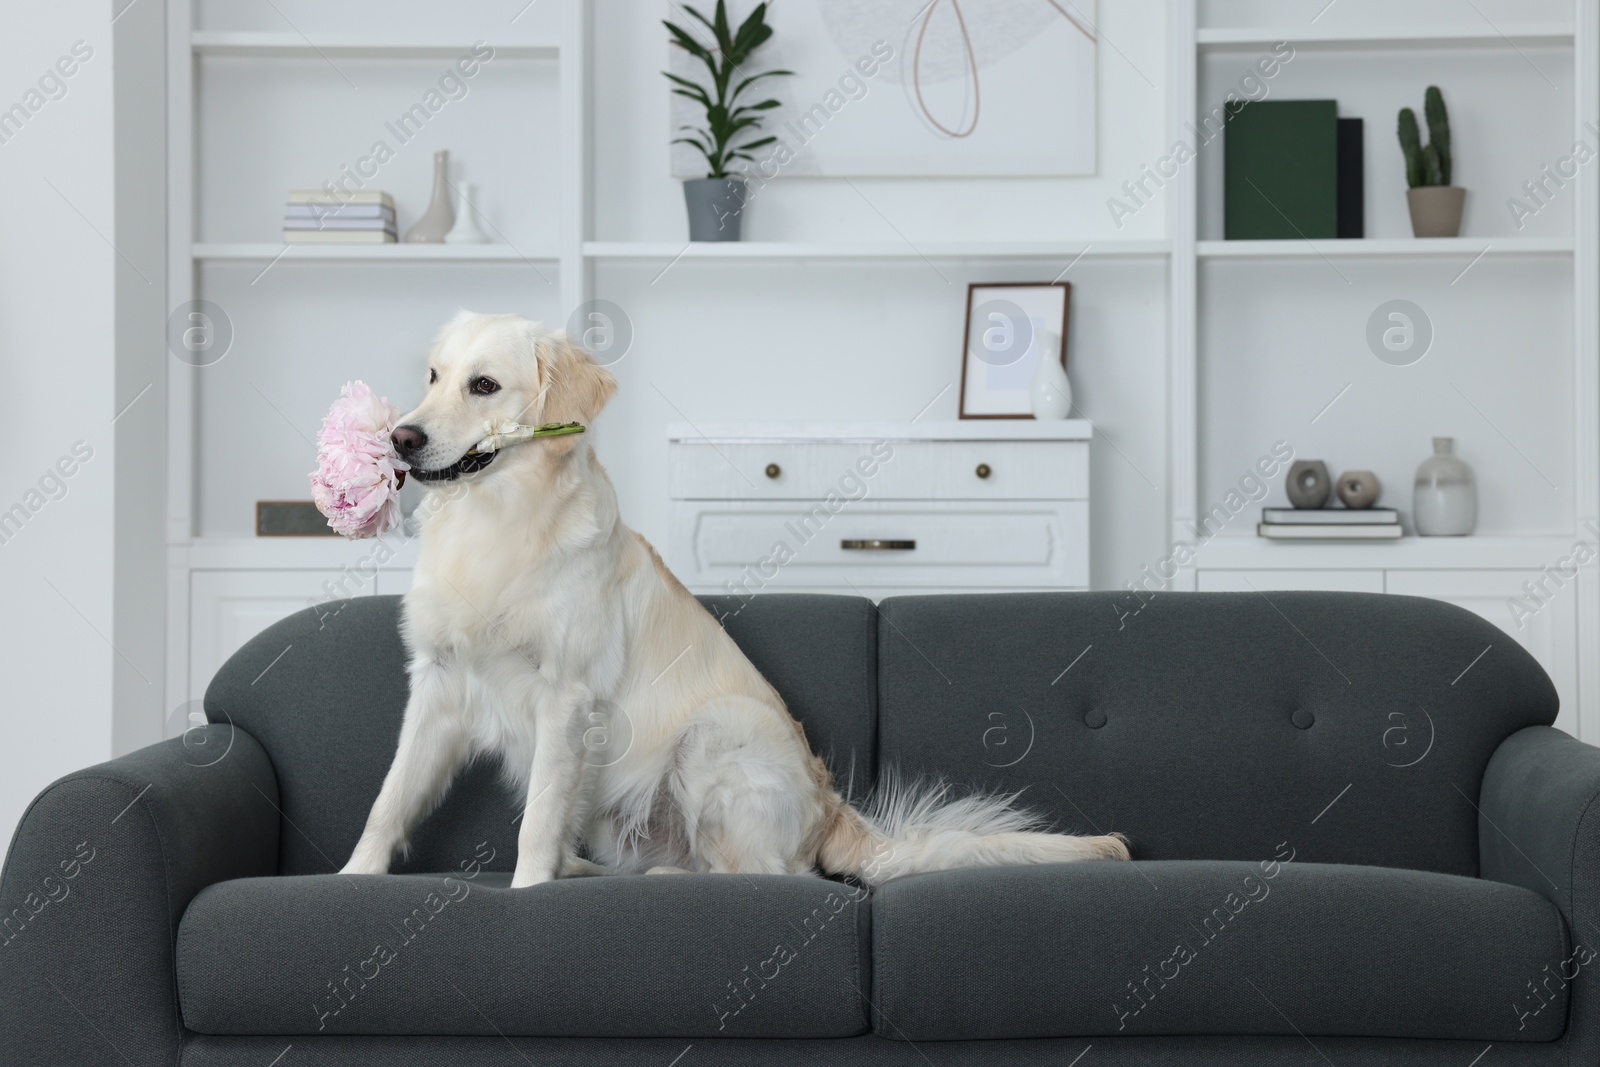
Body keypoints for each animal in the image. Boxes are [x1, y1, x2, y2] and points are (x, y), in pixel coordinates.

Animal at [344, 313, 1132, 889]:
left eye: (484, 385)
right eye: (434, 375)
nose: (400, 438)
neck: (497, 519)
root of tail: (830, 810)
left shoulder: (566, 696)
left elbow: (536, 820)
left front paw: (528, 891)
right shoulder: (437, 683)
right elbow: (388, 798)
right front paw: (354, 876)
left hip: (717, 730)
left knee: (768, 875)